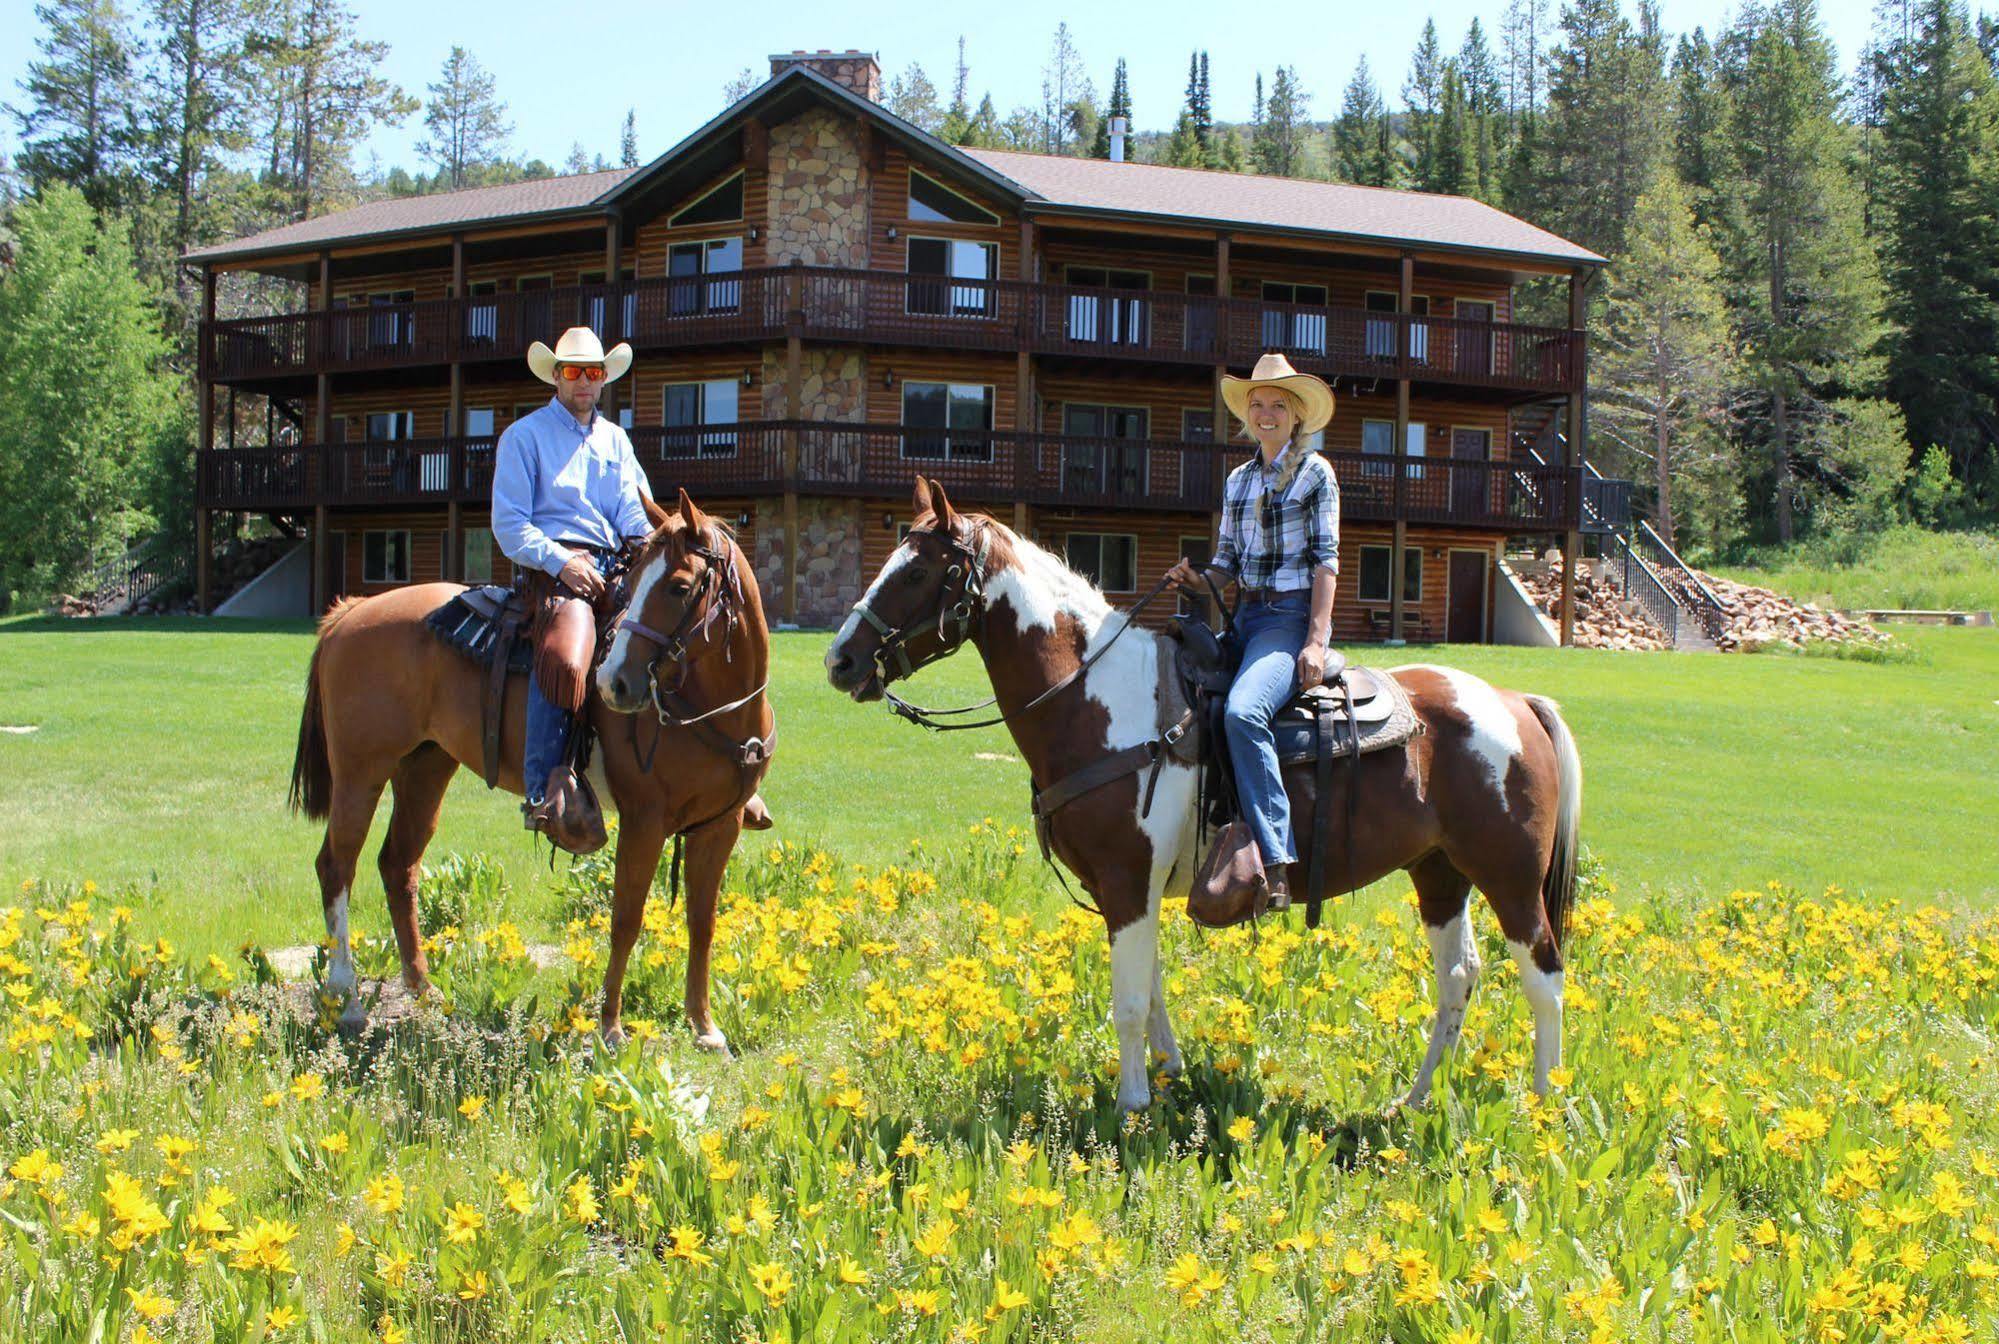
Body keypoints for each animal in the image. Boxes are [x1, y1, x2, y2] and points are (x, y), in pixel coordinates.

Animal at [289, 486, 771, 1048]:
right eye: (634, 585)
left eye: (678, 586)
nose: (613, 684)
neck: (713, 706)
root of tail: (350, 612)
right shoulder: (644, 820)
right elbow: (626, 919)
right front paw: (611, 1028)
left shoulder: (721, 824)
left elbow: (702, 921)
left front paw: (704, 1027)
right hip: (360, 773)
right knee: (337, 867)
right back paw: (347, 1000)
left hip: (425, 767)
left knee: (398, 864)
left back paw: (425, 991)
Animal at [823, 480, 1575, 1112]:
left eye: (917, 572)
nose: (841, 661)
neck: (1096, 699)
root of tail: (1515, 700)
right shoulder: (1124, 890)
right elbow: (1151, 987)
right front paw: (1166, 1075)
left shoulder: (1127, 878)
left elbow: (1128, 1000)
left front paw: (1131, 1108)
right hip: (1440, 871)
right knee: (1458, 975)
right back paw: (1415, 1101)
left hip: (1508, 876)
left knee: (1543, 975)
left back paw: (1542, 1106)